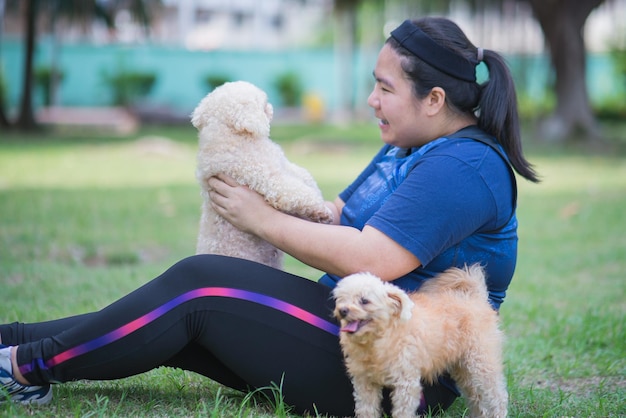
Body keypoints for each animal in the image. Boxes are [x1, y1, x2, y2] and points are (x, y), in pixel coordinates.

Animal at [334, 266, 504, 416]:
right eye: (340, 299)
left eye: (364, 300)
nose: (343, 310)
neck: (376, 341)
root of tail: (475, 297)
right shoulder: (364, 382)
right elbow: (366, 410)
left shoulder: (406, 383)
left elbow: (402, 412)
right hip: (463, 368)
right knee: (477, 398)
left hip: (481, 363)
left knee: (497, 396)